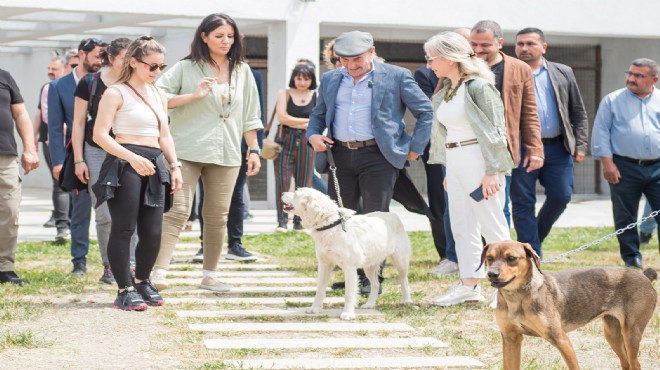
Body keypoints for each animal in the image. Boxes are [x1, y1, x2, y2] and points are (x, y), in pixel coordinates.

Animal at [280, 189, 412, 320]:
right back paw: (369, 304)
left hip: (400, 261)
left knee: (404, 281)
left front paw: (348, 313)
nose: (282, 193)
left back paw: (407, 301)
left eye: (296, 193)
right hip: (369, 266)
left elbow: (349, 293)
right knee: (375, 284)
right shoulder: (324, 264)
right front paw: (315, 308)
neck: (331, 224)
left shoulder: (349, 267)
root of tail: (393, 215)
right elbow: (320, 290)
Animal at [482, 241, 656, 368]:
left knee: (635, 364)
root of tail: (644, 276)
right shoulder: (511, 339)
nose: (492, 274)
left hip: (631, 334)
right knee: (626, 363)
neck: (517, 297)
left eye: (511, 258)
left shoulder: (561, 339)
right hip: (612, 334)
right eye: (489, 258)